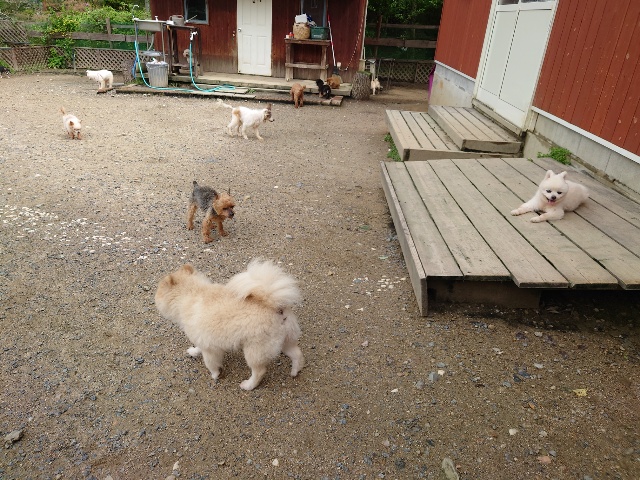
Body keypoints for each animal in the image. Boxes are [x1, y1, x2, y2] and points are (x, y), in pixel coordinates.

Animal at [154, 259, 304, 390]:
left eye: (158, 290)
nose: (154, 296)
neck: (190, 294)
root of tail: (276, 306)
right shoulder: (202, 339)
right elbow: (198, 347)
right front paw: (193, 351)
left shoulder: (210, 350)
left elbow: (211, 364)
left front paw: (215, 375)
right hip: (285, 341)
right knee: (297, 354)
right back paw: (295, 371)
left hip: (255, 350)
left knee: (259, 371)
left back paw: (248, 386)